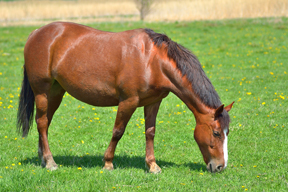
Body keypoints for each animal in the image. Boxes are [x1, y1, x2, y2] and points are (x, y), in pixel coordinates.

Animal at [16, 21, 234, 173]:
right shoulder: (128, 101)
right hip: (41, 91)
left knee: (45, 122)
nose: (220, 166)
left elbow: (150, 132)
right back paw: (50, 162)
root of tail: (36, 33)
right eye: (216, 133)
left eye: (227, 132)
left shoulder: (153, 102)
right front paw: (108, 163)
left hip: (55, 92)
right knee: (42, 122)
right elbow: (117, 131)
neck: (152, 60)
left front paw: (152, 166)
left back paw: (43, 158)